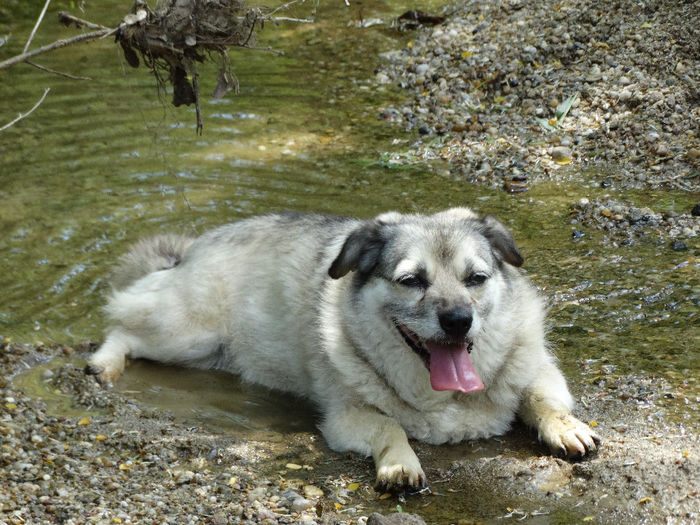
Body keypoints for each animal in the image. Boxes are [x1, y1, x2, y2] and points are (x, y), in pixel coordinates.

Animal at [86, 209, 600, 492]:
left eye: (476, 279)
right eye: (411, 281)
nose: (458, 320)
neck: (445, 395)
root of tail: (192, 248)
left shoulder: (540, 372)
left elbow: (541, 398)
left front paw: (565, 427)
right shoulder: (348, 418)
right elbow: (391, 426)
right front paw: (400, 462)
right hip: (186, 334)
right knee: (123, 328)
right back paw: (102, 365)